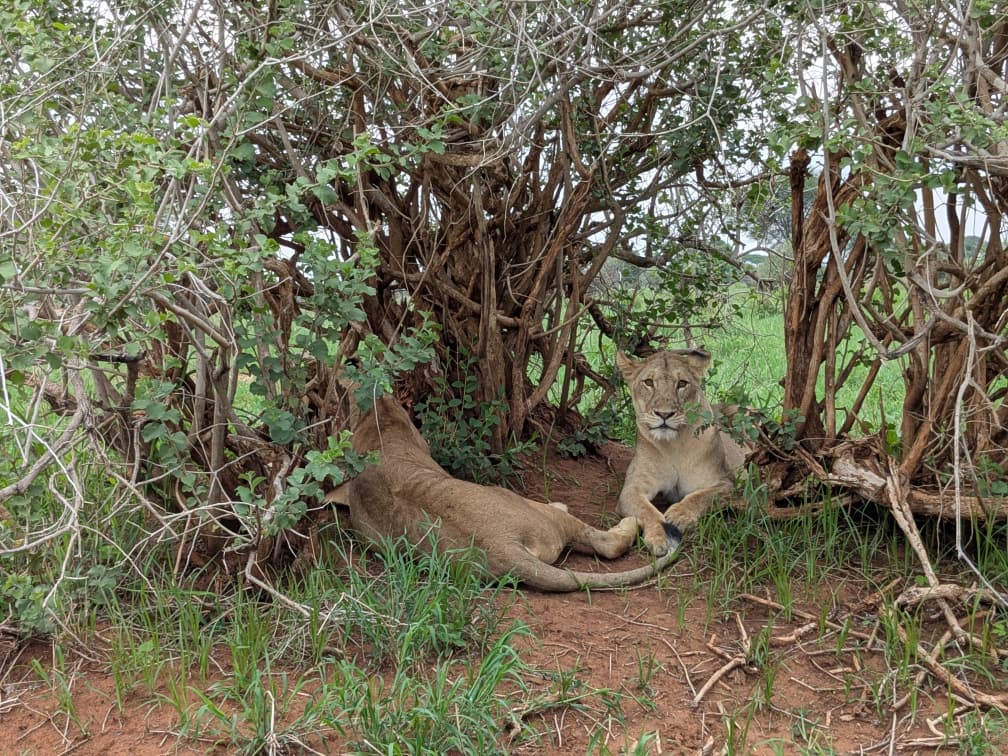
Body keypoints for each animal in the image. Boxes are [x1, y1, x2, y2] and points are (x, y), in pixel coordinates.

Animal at [616, 349, 747, 556]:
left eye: (682, 383)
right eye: (649, 382)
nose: (664, 414)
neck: (673, 445)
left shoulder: (726, 482)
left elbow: (701, 496)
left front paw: (679, 514)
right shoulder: (632, 489)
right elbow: (647, 511)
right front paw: (661, 535)